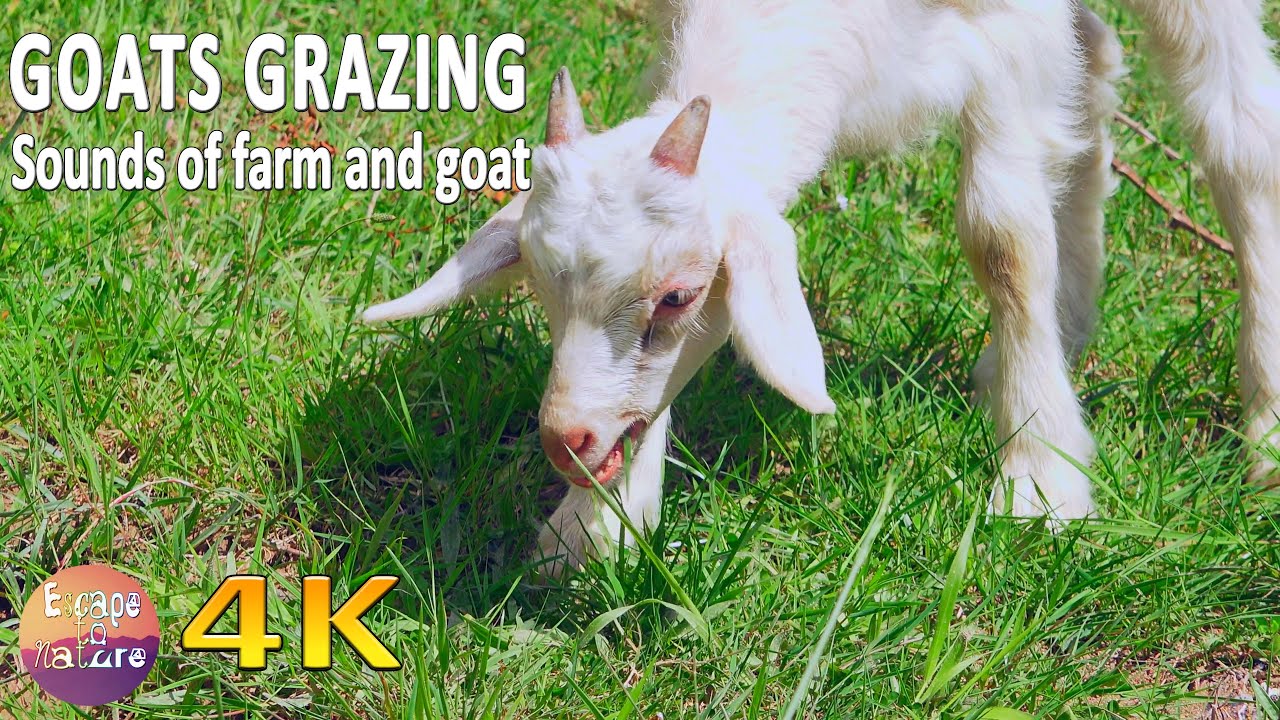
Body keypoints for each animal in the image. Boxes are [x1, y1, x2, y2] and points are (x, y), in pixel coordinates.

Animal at [363, 0, 1280, 574]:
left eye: (678, 298)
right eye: (542, 291)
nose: (566, 441)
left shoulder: (1010, 28)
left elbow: (1002, 240)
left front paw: (1040, 478)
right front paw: (594, 532)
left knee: (1236, 127)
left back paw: (1264, 424)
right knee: (1094, 65)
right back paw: (1071, 322)